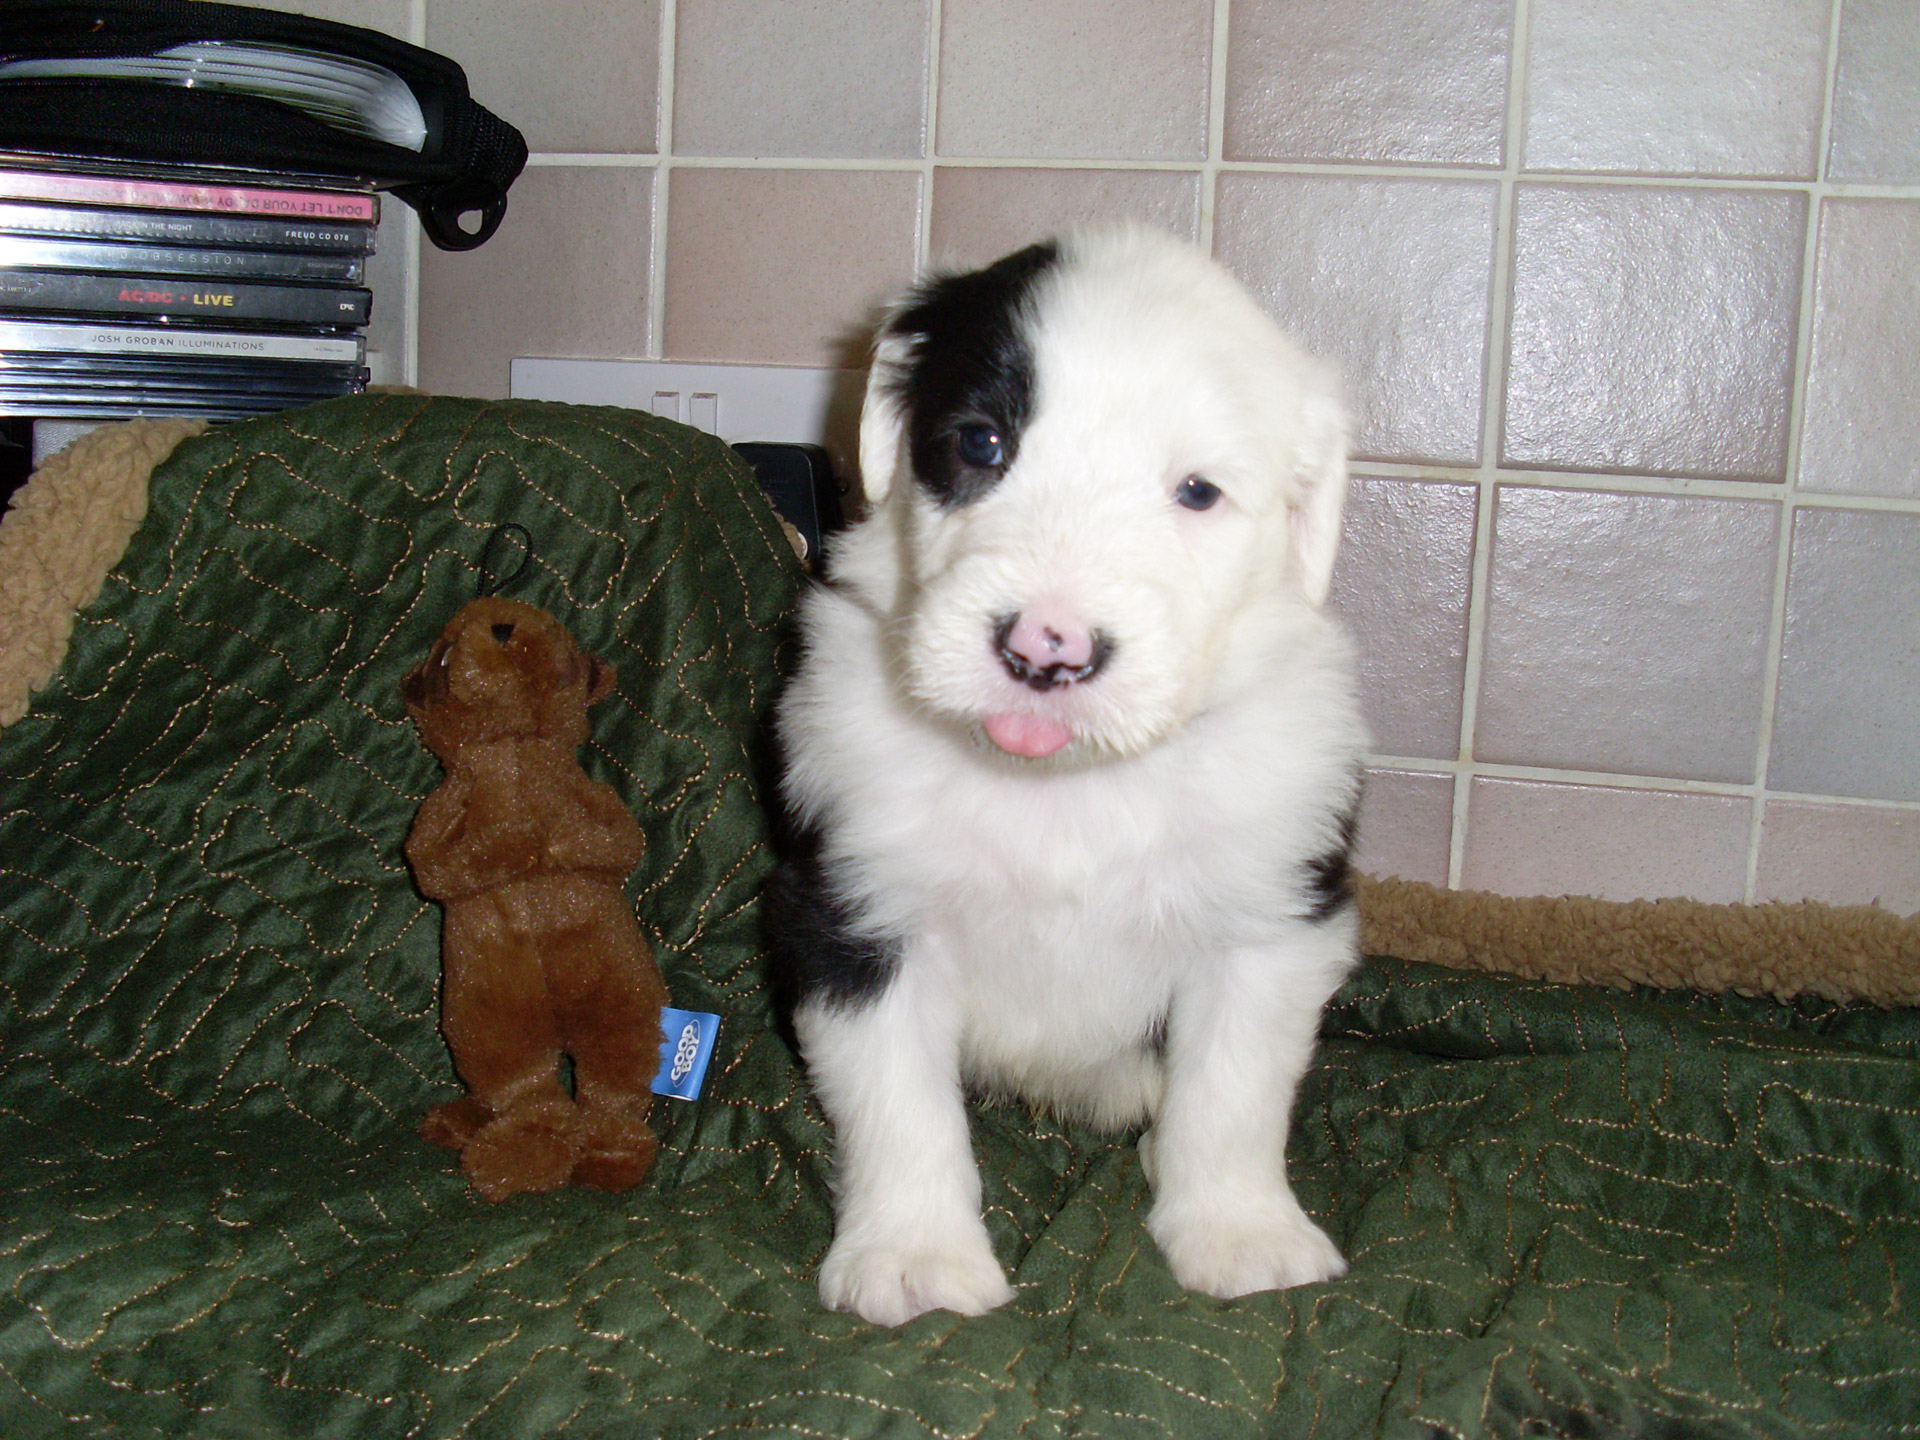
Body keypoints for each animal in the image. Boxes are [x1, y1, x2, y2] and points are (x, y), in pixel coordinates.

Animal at [764, 228, 1367, 1328]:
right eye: (981, 444)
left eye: (1197, 491)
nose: (1048, 647)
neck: (1066, 786)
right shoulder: (857, 906)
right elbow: (897, 1098)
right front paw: (914, 1257)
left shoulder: (1268, 915)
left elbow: (1235, 1091)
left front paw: (1241, 1234)